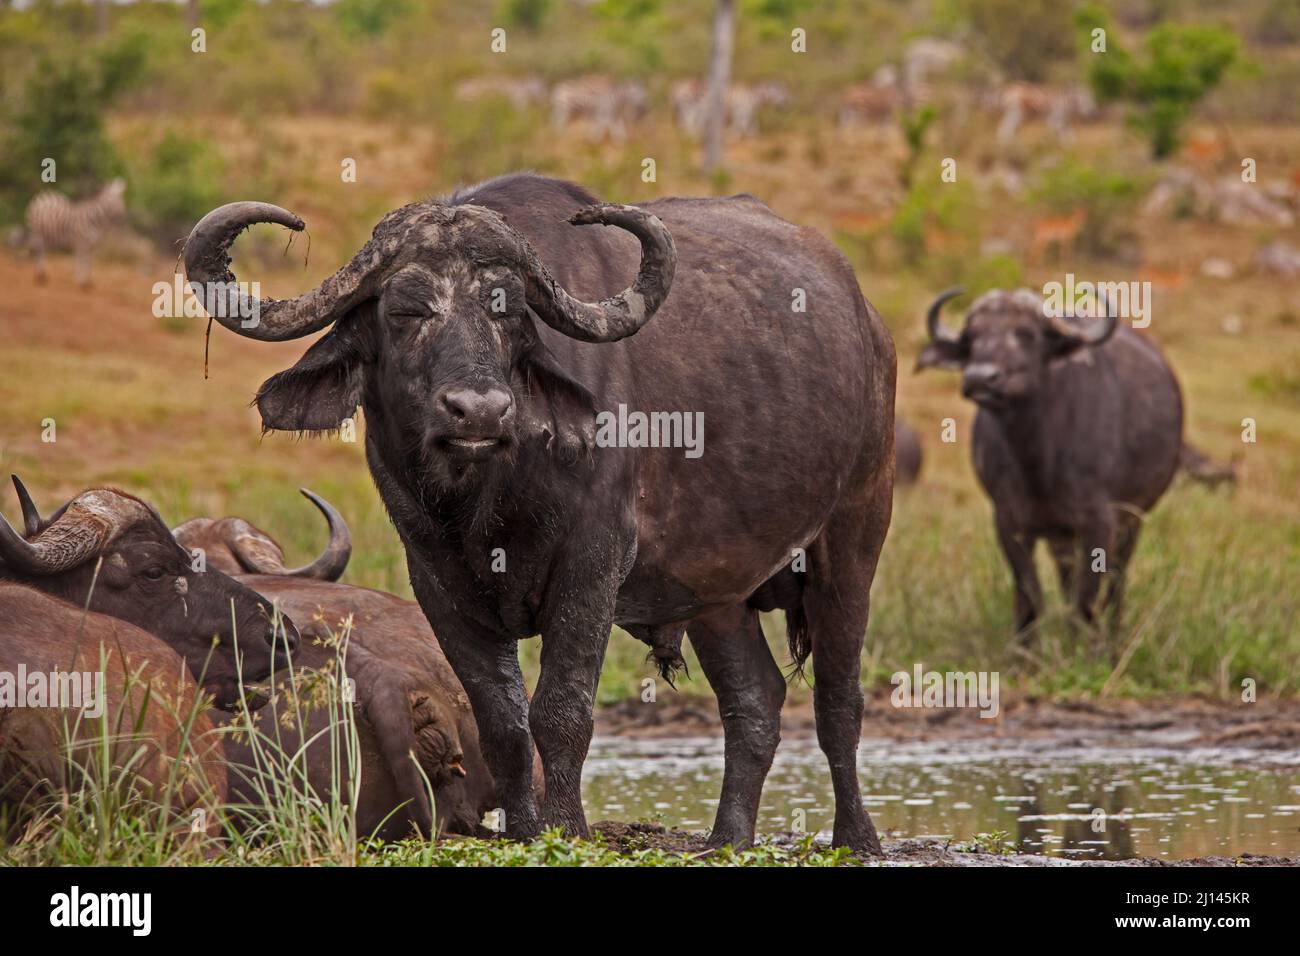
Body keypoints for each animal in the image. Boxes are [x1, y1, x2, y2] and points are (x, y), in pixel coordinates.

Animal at [180, 170, 894, 853]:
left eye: (510, 309)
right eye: (404, 309)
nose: (479, 411)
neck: (486, 492)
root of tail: (870, 324)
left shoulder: (592, 564)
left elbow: (560, 709)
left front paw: (566, 828)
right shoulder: (436, 580)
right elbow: (502, 719)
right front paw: (524, 829)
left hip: (854, 535)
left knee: (839, 700)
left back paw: (856, 837)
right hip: (717, 594)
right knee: (754, 700)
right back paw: (726, 838)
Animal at [920, 287, 1185, 639]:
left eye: (1027, 334)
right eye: (972, 336)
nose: (979, 378)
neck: (1038, 460)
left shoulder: (1100, 522)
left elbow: (1086, 600)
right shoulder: (1009, 522)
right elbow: (1029, 596)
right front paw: (1025, 651)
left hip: (1133, 518)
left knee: (1117, 581)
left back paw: (1114, 637)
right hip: (1062, 535)